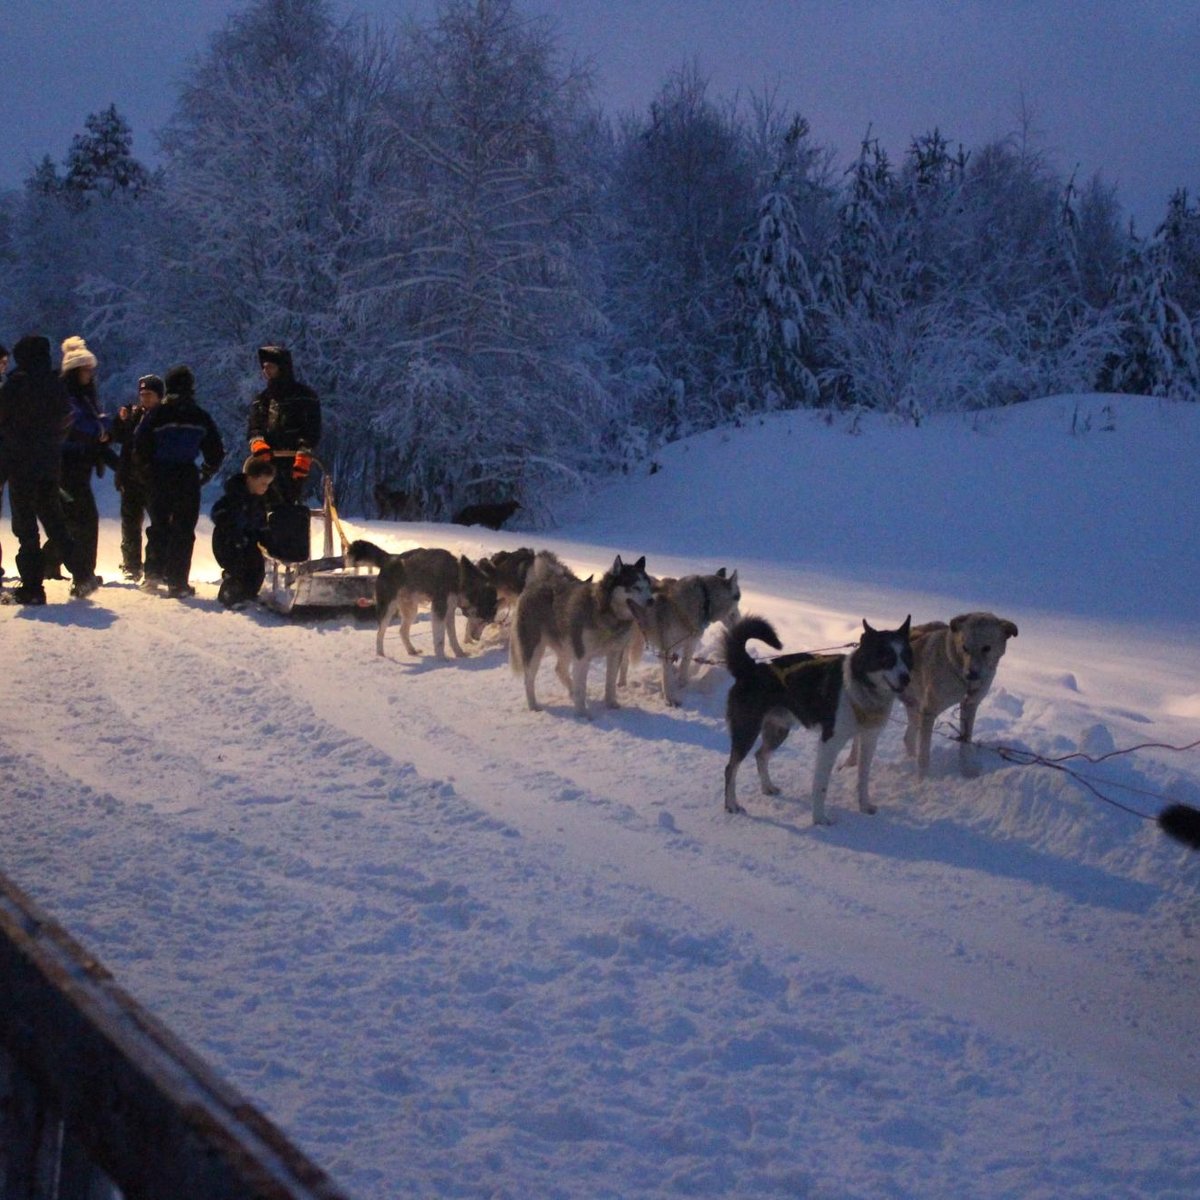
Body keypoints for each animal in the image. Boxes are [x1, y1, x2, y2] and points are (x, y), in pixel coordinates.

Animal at [348, 542, 496, 662]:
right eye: (484, 620)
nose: (476, 639)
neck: (459, 576)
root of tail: (390, 558)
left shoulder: (449, 611)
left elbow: (452, 637)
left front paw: (459, 653)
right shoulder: (439, 610)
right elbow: (440, 639)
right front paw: (442, 659)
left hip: (411, 610)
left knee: (402, 631)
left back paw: (411, 650)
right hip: (388, 609)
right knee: (380, 633)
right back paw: (381, 655)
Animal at [511, 554, 652, 715]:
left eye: (649, 587)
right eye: (635, 587)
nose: (651, 601)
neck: (605, 614)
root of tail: (538, 583)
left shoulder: (615, 653)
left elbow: (610, 683)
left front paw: (611, 703)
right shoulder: (582, 656)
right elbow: (582, 687)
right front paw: (582, 713)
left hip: (567, 646)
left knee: (559, 669)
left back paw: (571, 690)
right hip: (535, 650)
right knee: (528, 679)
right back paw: (534, 705)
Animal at [628, 568, 739, 700]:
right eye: (738, 598)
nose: (740, 620)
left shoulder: (690, 644)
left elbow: (684, 665)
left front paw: (682, 684)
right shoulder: (667, 648)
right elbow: (667, 676)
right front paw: (669, 698)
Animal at [720, 619, 907, 825]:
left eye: (906, 656)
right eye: (886, 657)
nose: (906, 678)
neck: (859, 690)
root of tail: (750, 668)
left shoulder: (869, 739)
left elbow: (863, 778)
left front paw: (864, 806)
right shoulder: (829, 743)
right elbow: (821, 786)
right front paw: (819, 819)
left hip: (778, 731)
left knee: (760, 755)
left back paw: (767, 787)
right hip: (747, 731)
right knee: (730, 768)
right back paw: (732, 805)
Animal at [902, 609, 1017, 777]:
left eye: (986, 648)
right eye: (964, 647)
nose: (971, 674)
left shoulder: (970, 705)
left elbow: (965, 740)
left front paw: (966, 769)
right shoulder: (928, 711)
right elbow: (924, 752)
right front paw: (923, 779)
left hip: (913, 707)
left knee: (908, 738)